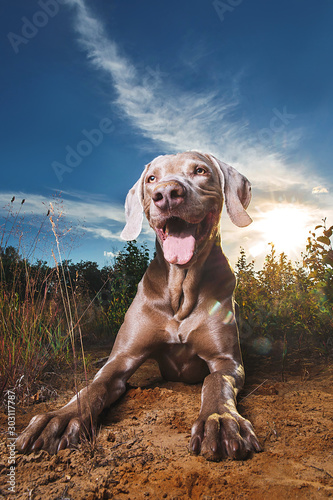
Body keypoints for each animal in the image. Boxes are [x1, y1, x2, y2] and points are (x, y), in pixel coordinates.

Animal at [16, 151, 260, 460]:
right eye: (151, 178)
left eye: (200, 171)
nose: (166, 194)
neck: (180, 293)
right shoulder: (123, 358)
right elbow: (93, 385)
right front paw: (61, 417)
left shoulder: (226, 362)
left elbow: (215, 382)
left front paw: (219, 419)